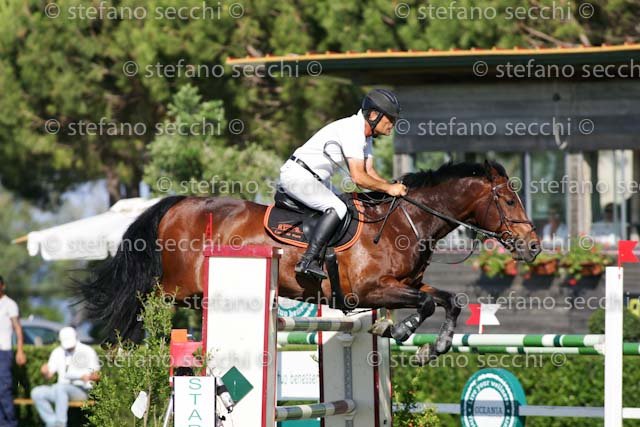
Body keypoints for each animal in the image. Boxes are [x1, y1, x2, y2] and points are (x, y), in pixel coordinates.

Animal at [78, 160, 540, 360]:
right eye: (509, 200)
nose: (532, 246)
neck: (403, 222)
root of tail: (177, 205)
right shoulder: (371, 291)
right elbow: (427, 304)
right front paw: (400, 330)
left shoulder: (404, 285)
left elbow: (449, 300)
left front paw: (433, 347)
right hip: (173, 289)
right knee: (138, 304)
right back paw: (127, 351)